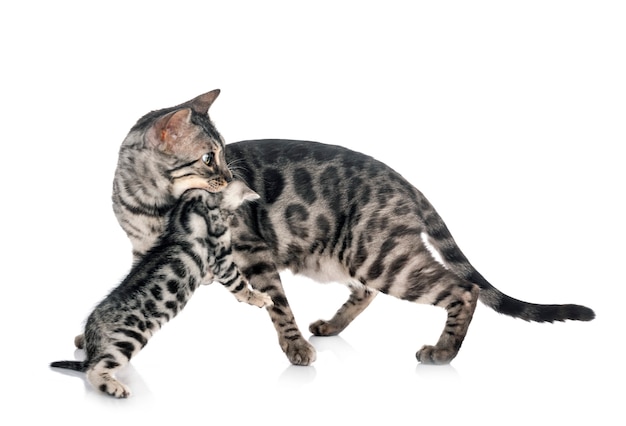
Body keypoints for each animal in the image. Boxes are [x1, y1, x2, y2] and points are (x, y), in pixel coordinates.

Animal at [109, 90, 592, 366]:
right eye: (210, 158)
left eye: (225, 154)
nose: (232, 179)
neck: (150, 204)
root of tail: (404, 181)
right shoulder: (144, 255)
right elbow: (130, 297)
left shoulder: (251, 251)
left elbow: (277, 303)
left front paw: (295, 347)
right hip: (343, 256)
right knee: (366, 292)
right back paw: (331, 327)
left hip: (380, 257)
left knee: (463, 288)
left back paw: (443, 351)